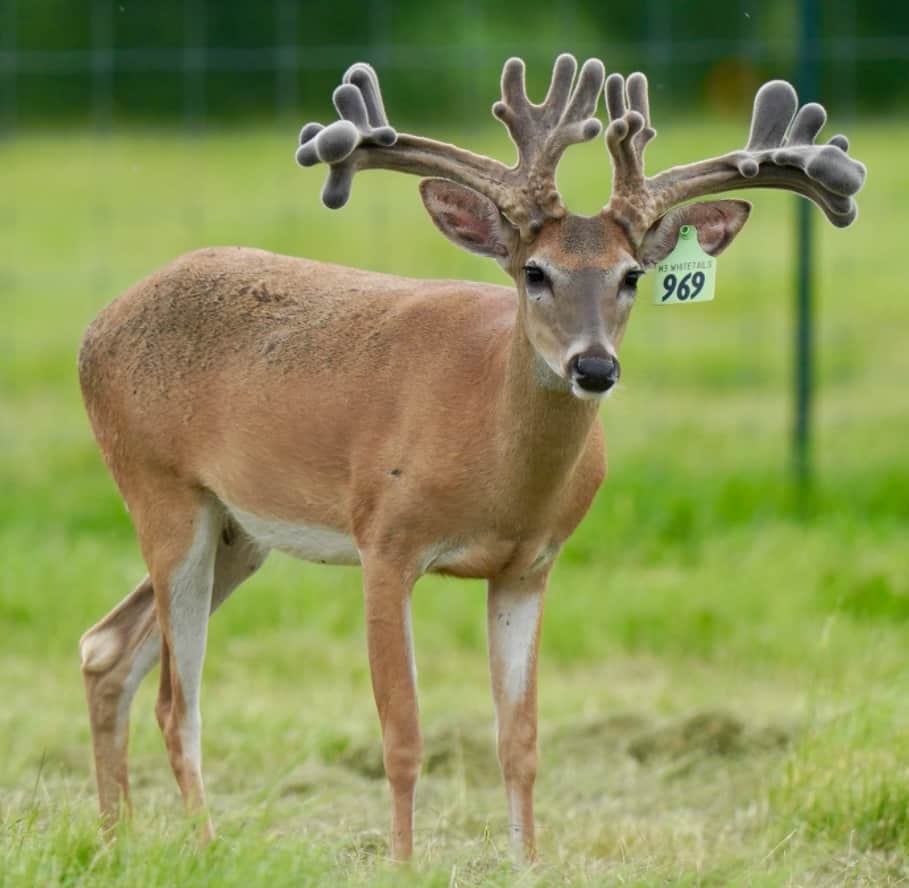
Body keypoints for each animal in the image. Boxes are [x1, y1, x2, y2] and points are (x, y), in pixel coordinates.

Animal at [77, 54, 865, 862]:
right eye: (535, 272)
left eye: (632, 276)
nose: (594, 367)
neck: (497, 470)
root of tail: (97, 327)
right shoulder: (385, 539)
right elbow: (402, 735)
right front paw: (401, 864)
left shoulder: (529, 567)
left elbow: (519, 740)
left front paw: (528, 864)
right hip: (160, 488)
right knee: (176, 700)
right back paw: (202, 845)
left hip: (239, 531)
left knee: (107, 649)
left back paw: (114, 840)